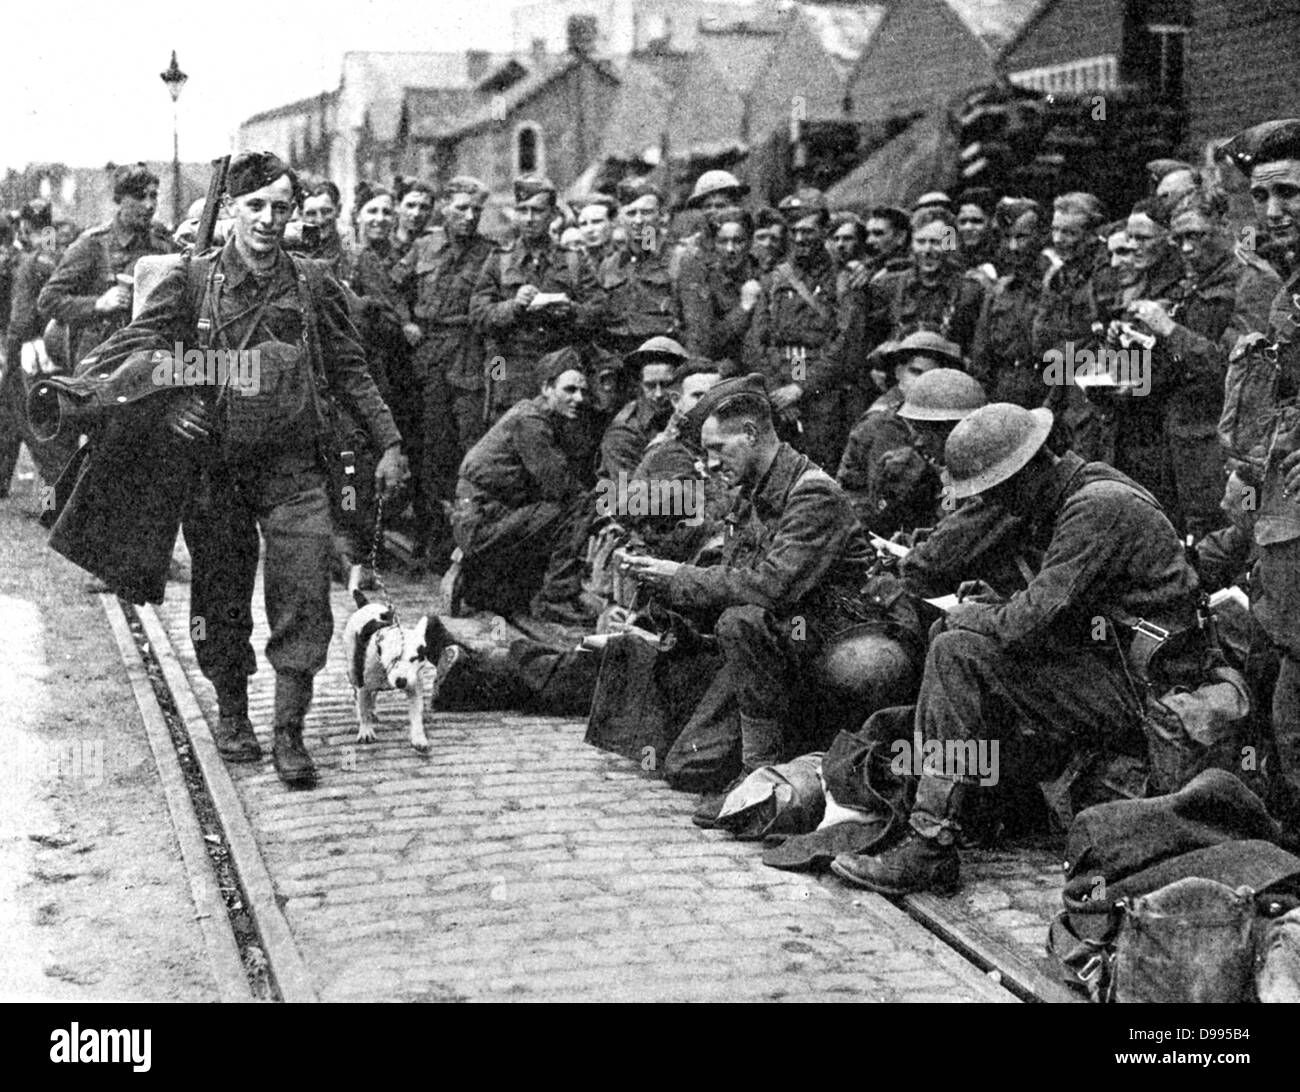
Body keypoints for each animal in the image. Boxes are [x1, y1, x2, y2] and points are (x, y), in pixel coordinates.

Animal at [340, 587, 431, 748]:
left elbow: (416, 714)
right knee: (357, 693)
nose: (401, 681)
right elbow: (363, 709)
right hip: (353, 668)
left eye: (414, 658)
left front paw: (419, 738)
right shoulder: (363, 687)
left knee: (373, 694)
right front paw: (366, 731)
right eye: (393, 658)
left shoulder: (414, 687)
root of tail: (366, 605)